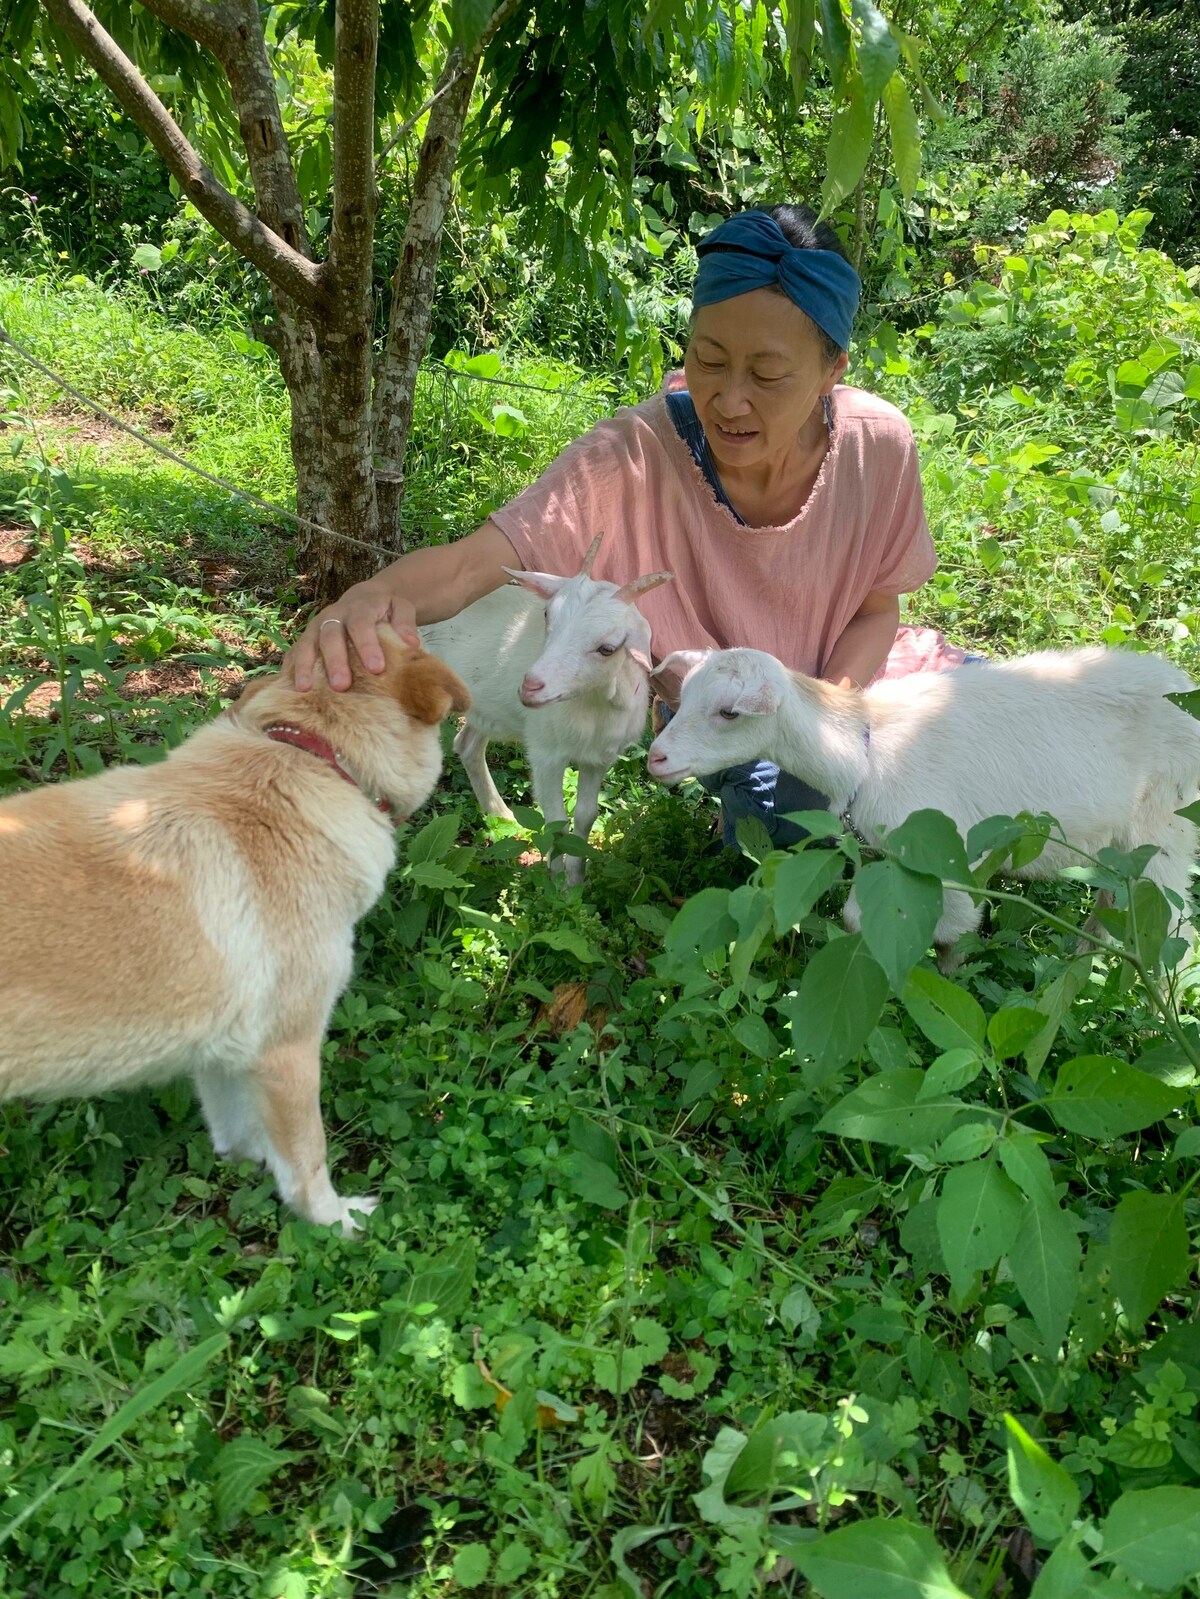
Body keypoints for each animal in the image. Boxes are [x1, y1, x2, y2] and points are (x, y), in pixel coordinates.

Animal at [0, 630, 470, 1228]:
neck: (310, 754)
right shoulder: (287, 1052)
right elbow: (307, 1164)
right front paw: (336, 1223)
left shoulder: (223, 1052)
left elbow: (239, 1138)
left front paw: (247, 1177)